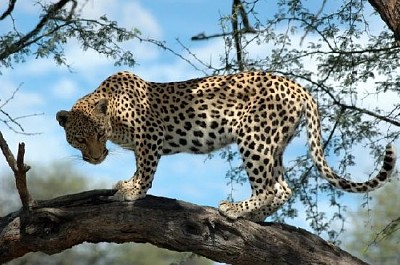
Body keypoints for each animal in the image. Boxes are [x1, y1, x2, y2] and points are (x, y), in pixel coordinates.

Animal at [57, 70, 396, 221]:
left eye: (98, 134)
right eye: (79, 139)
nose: (95, 158)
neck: (112, 112)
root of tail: (298, 86)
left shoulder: (151, 135)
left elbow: (146, 168)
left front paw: (132, 190)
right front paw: (127, 185)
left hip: (253, 136)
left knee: (268, 188)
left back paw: (235, 209)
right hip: (275, 143)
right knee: (283, 188)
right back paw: (254, 216)